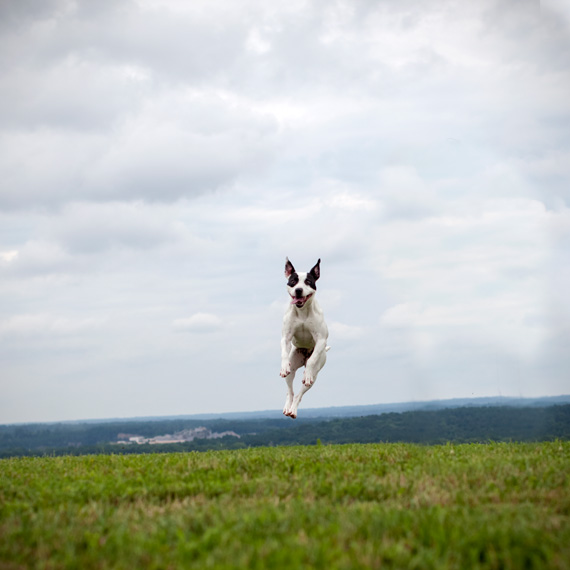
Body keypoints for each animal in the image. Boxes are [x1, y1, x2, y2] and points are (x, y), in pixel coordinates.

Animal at [280, 258, 328, 418]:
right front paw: (283, 366)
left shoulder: (321, 340)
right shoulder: (286, 337)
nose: (299, 290)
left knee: (299, 393)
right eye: (293, 281)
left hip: (316, 372)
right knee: (290, 391)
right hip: (294, 361)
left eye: (308, 281)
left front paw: (307, 373)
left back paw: (293, 410)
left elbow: (312, 361)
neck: (302, 311)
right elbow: (284, 352)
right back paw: (288, 407)